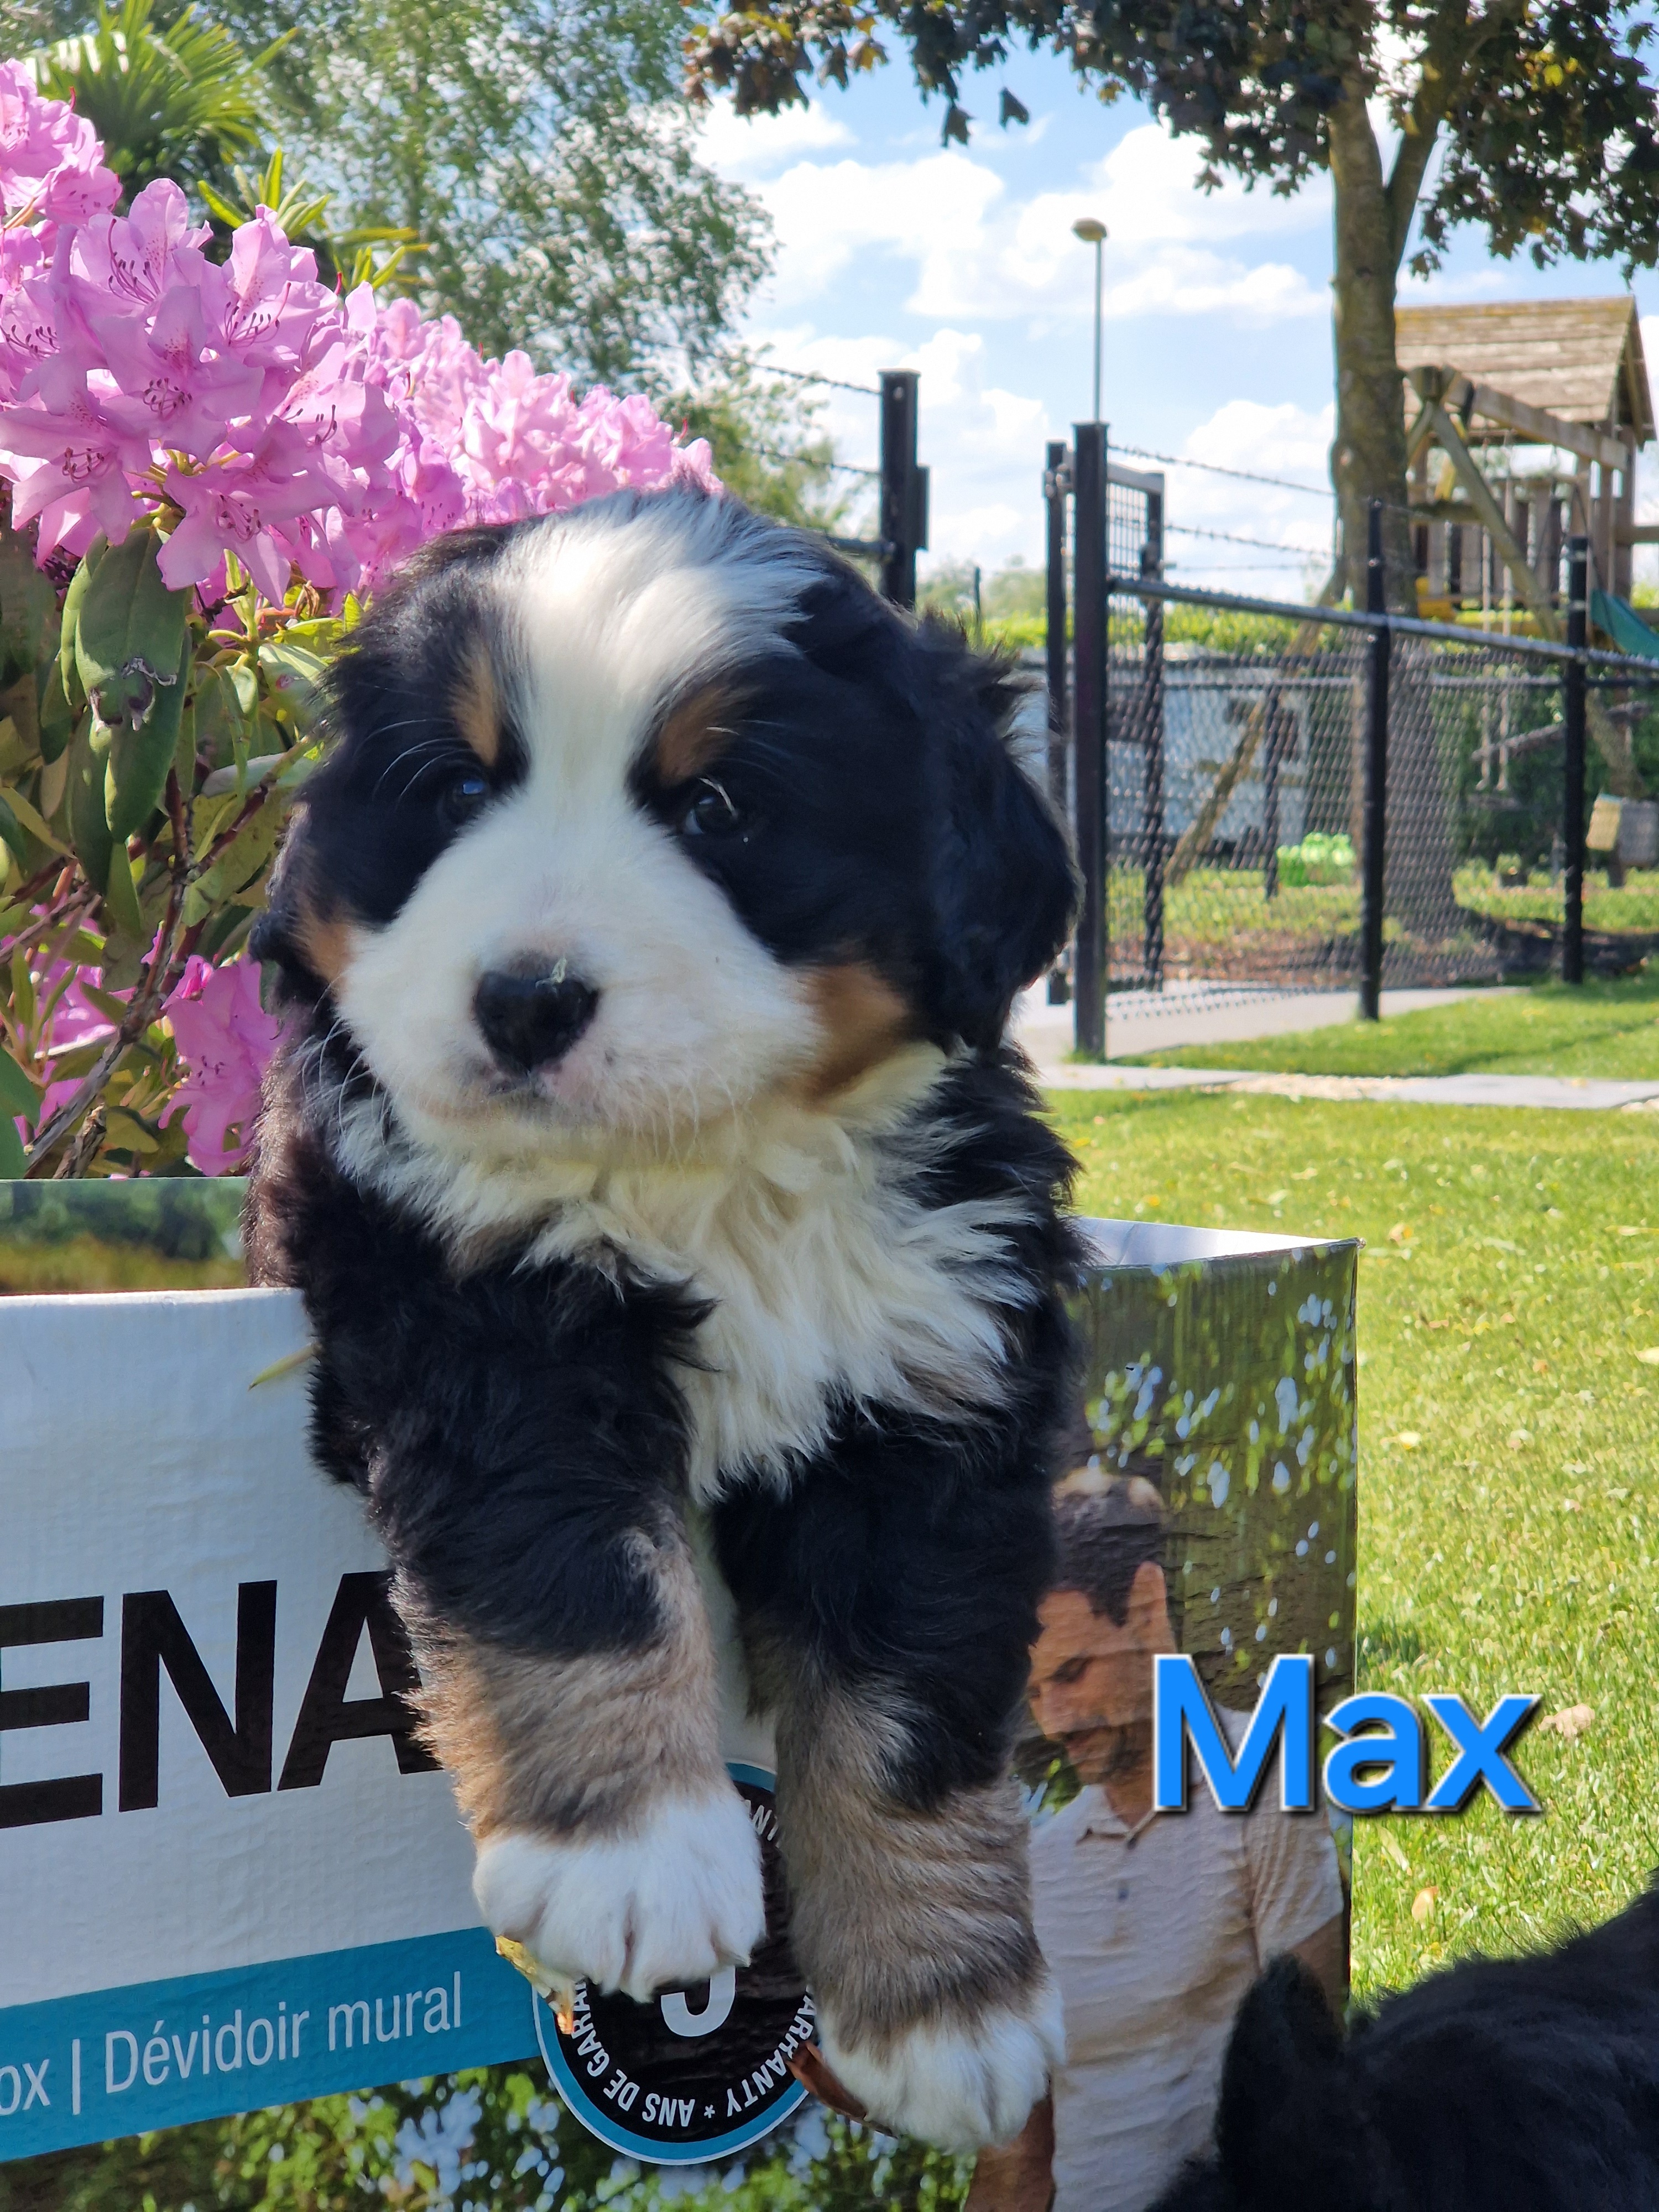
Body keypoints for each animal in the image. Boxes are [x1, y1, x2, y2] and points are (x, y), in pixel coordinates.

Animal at [243, 484, 1079, 2141]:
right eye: (452, 789)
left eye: (719, 811)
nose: (524, 999)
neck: (712, 1176)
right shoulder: (476, 1318)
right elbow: (580, 1573)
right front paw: (628, 1856)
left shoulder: (937, 1392)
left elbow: (912, 1710)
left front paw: (949, 2000)